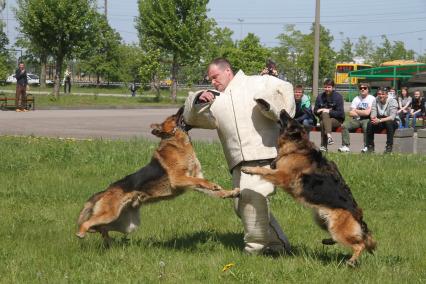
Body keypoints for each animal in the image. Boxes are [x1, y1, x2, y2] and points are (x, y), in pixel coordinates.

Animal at [75, 107, 238, 244]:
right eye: (173, 117)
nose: (182, 106)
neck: (177, 143)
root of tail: (106, 190)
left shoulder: (193, 181)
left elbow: (208, 186)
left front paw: (231, 192)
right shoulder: (179, 179)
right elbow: (202, 181)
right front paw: (214, 185)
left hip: (126, 224)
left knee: (101, 228)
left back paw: (107, 241)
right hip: (110, 214)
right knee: (88, 223)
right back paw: (81, 233)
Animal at [243, 110, 376, 266]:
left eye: (290, 119)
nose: (282, 110)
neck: (297, 147)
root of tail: (359, 215)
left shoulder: (282, 176)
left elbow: (263, 171)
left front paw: (249, 169)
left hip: (339, 230)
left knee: (360, 244)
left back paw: (351, 261)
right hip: (323, 221)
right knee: (351, 239)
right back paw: (328, 241)